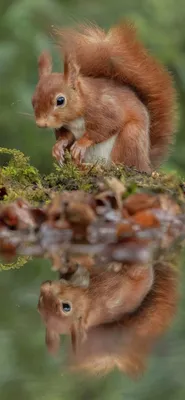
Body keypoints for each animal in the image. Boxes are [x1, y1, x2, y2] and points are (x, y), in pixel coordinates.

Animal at [31, 21, 176, 173]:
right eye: (32, 101)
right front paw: (58, 146)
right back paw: (85, 166)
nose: (41, 124)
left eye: (60, 100)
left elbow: (105, 127)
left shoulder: (105, 108)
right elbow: (66, 136)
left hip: (130, 138)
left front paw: (82, 143)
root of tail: (146, 163)